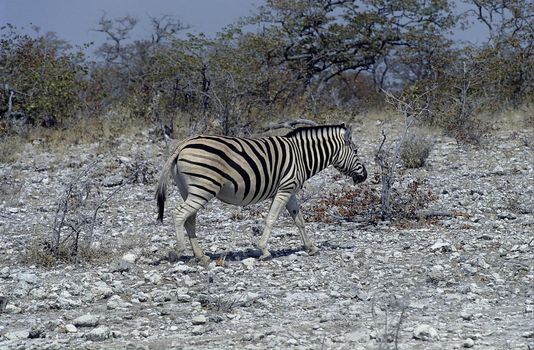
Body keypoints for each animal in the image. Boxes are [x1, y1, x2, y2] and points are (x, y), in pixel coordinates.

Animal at [155, 123, 368, 262]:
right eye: (356, 151)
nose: (365, 176)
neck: (301, 156)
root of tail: (182, 144)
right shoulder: (285, 188)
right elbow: (272, 219)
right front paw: (264, 250)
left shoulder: (289, 191)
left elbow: (299, 220)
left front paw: (311, 247)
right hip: (203, 188)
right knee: (179, 214)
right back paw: (178, 251)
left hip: (189, 190)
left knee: (189, 219)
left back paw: (200, 255)